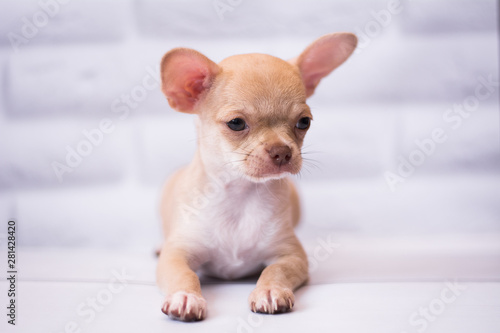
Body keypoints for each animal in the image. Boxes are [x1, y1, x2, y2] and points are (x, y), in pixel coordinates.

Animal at [156, 32, 356, 320]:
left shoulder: (291, 256)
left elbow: (275, 270)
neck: (241, 194)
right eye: (236, 123)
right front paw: (185, 296)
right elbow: (183, 275)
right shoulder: (177, 254)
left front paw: (270, 290)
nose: (282, 151)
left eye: (304, 122)